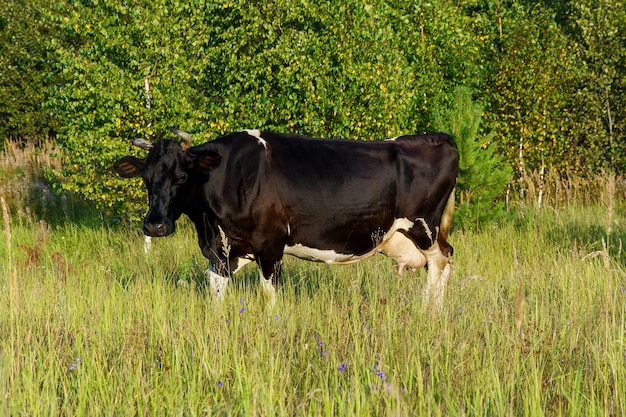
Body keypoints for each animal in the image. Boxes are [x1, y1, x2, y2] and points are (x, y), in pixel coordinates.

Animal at [114, 128, 458, 308]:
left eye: (183, 176)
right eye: (146, 177)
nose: (155, 224)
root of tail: (433, 137)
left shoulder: (270, 243)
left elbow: (270, 294)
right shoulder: (220, 250)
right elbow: (217, 293)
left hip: (423, 226)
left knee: (440, 260)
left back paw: (429, 310)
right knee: (446, 257)